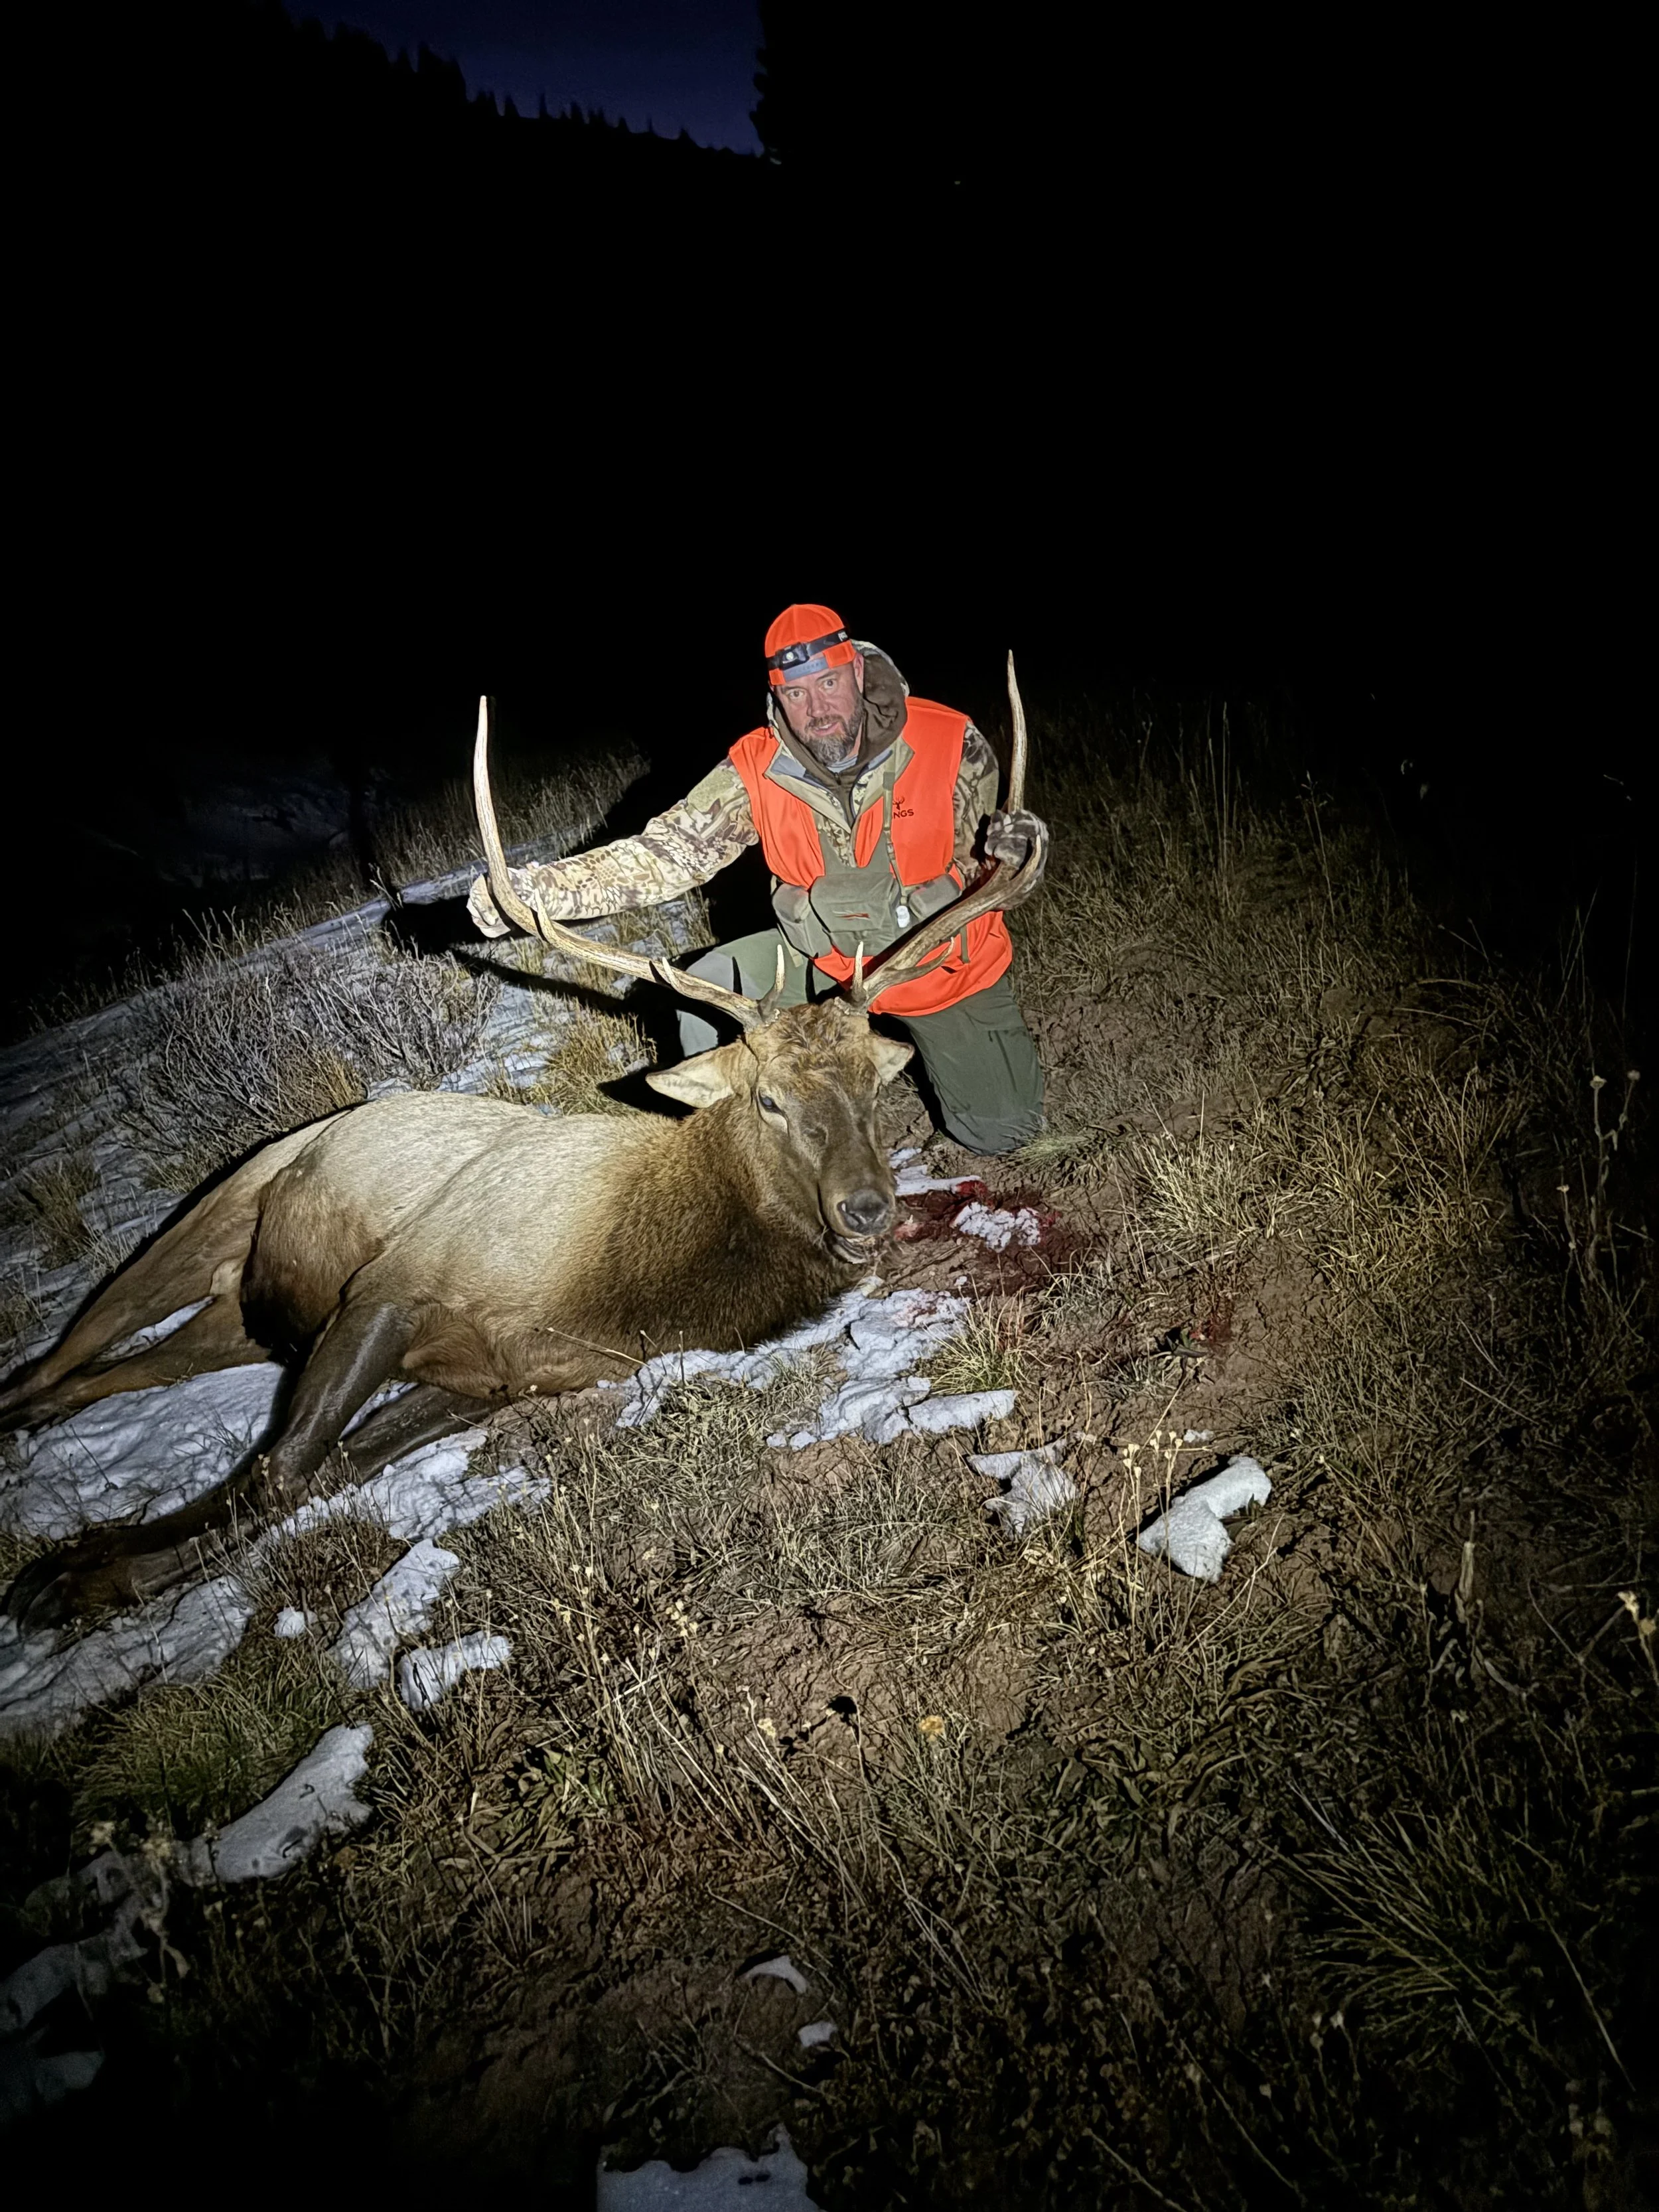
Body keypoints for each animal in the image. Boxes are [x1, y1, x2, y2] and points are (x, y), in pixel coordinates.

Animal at [2, 669, 1042, 1630]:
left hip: (237, 1316)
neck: (622, 1288)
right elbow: (281, 1471)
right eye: (770, 1101)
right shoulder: (395, 1283)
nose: (866, 1207)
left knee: (106, 1375)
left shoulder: (491, 1377)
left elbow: (304, 1475)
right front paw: (66, 1577)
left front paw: (83, 1571)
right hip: (219, 1211)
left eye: (875, 1084)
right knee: (63, 1355)